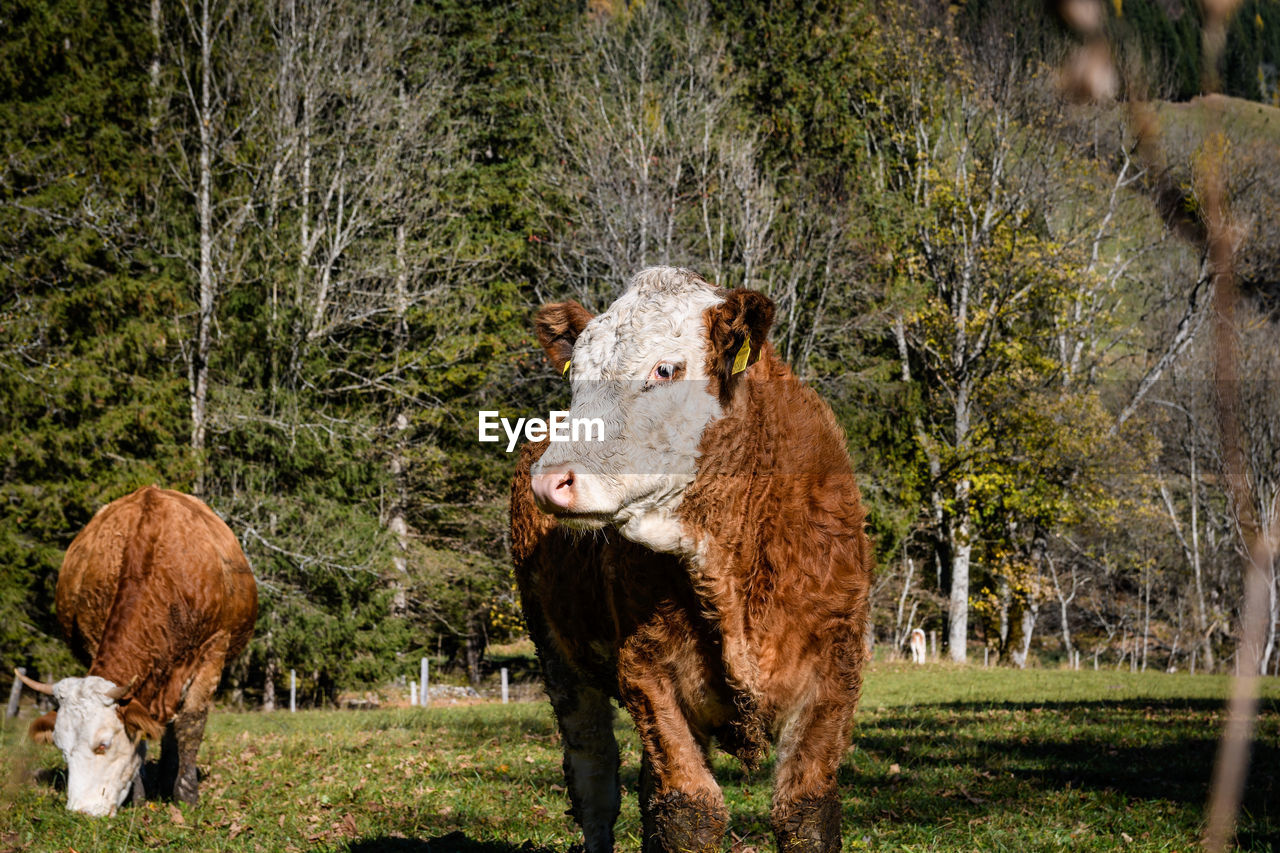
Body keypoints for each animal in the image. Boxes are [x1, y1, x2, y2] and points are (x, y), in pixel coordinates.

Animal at [18, 484, 258, 809]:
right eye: (62, 749)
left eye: (103, 744)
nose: (80, 811)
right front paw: (139, 795)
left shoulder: (214, 647)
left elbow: (191, 724)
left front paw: (186, 793)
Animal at [509, 266, 870, 850]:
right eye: (576, 375)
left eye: (665, 368)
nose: (551, 480)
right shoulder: (647, 670)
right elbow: (688, 810)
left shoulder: (836, 669)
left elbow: (806, 814)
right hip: (556, 654)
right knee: (594, 778)